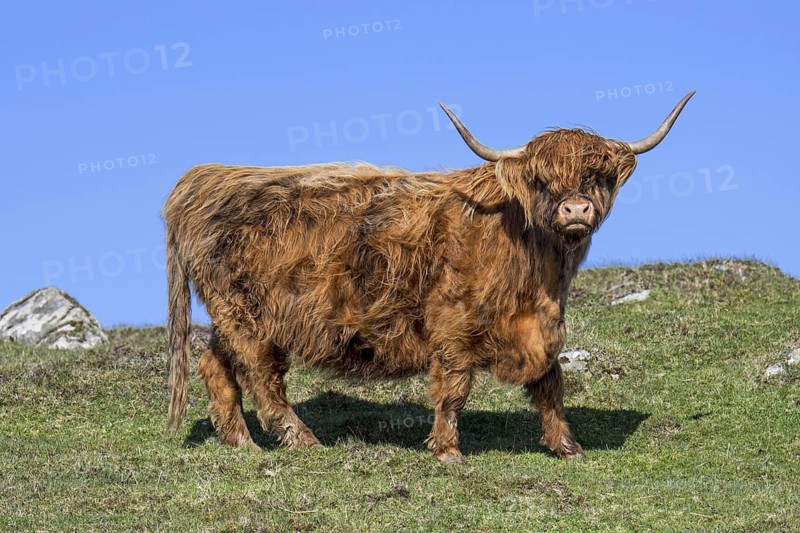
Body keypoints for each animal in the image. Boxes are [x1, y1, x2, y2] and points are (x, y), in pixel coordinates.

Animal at [164, 91, 694, 463]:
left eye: (598, 177)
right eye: (542, 180)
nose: (576, 208)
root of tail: (207, 179)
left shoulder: (544, 326)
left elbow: (550, 383)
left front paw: (566, 446)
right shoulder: (452, 326)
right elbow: (453, 388)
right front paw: (447, 451)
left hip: (228, 317)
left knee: (217, 367)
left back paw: (242, 444)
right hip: (251, 320)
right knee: (262, 381)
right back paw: (304, 443)